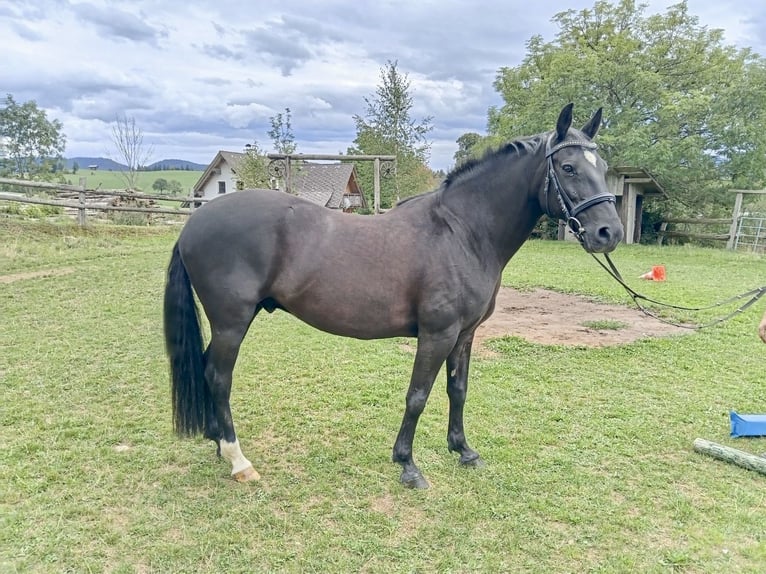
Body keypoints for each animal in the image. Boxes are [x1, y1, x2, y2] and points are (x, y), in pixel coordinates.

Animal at [164, 103, 624, 489]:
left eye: (602, 166)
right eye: (568, 167)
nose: (609, 233)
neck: (462, 232)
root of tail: (196, 222)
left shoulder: (465, 334)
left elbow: (458, 390)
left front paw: (463, 450)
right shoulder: (437, 335)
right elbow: (417, 396)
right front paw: (408, 465)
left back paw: (217, 443)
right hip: (232, 322)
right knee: (218, 377)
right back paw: (238, 460)